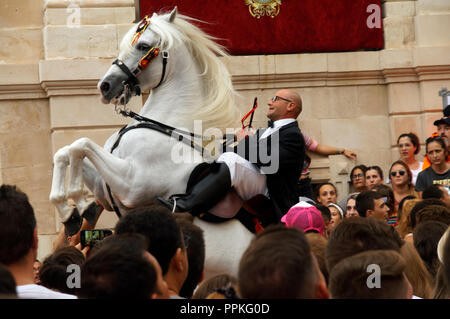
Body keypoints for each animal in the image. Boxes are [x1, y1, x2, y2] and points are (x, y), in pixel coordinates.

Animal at [48, 6, 256, 278]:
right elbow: (67, 151)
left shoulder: (131, 184)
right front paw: (69, 210)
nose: (105, 86)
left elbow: (81, 143)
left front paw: (77, 203)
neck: (164, 124)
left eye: (143, 46)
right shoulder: (105, 187)